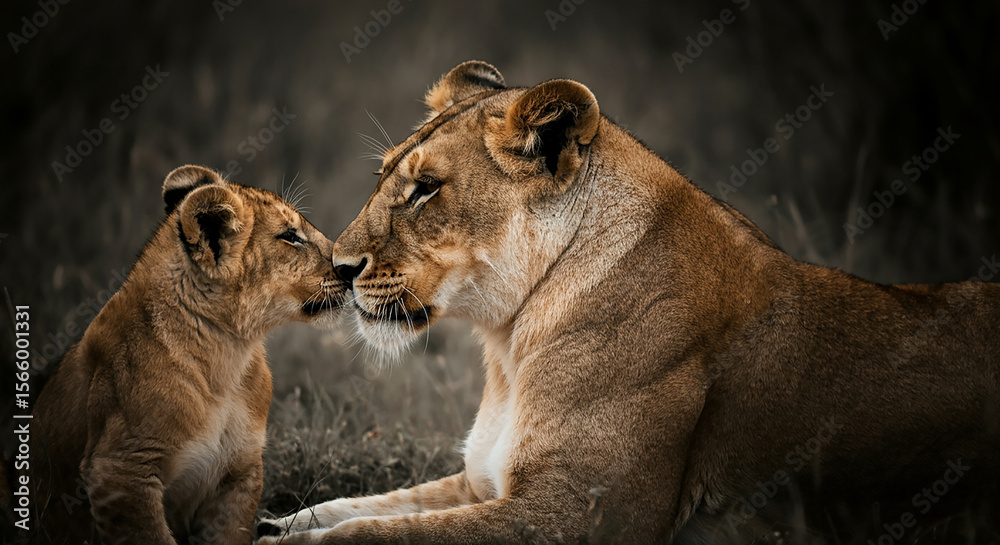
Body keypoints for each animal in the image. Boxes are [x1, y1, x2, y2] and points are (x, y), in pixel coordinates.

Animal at [28, 165, 346, 545]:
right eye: (290, 236)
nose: (351, 268)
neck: (228, 354)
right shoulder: (119, 471)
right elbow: (151, 535)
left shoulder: (240, 470)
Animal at [257, 62, 1000, 544]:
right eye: (383, 175)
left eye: (426, 189)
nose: (341, 268)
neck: (511, 343)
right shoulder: (482, 480)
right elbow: (353, 506)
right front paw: (275, 520)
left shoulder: (575, 515)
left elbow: (376, 533)